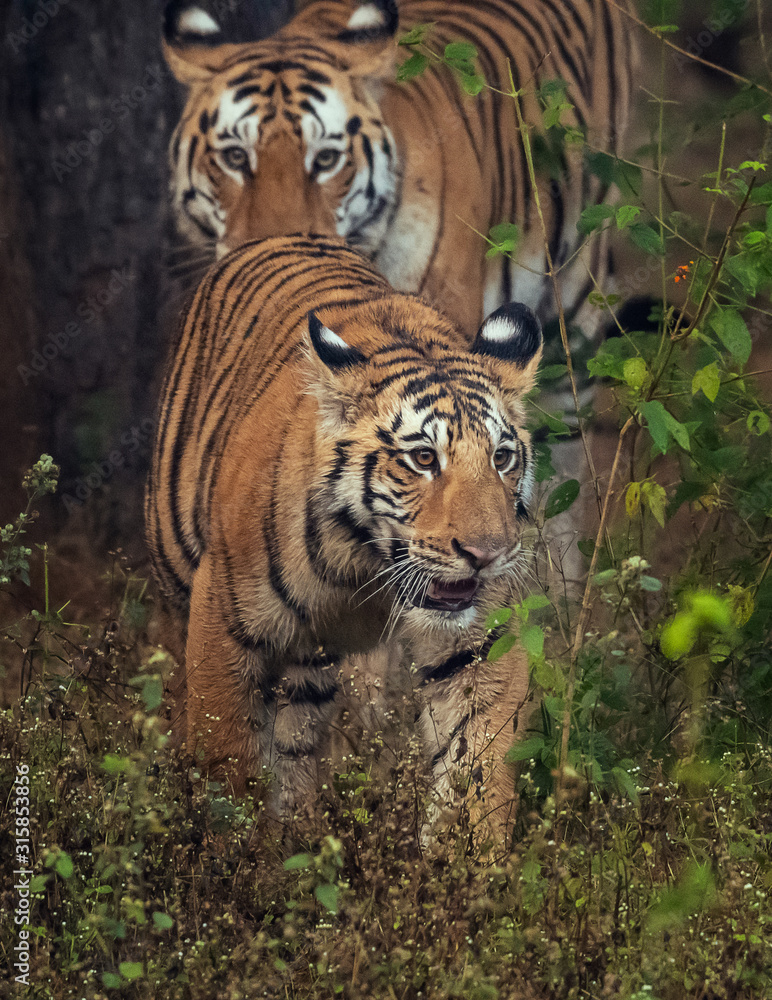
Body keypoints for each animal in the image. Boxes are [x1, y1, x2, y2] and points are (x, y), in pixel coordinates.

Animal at [145, 234, 543, 842]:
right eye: (423, 458)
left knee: (294, 742)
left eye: (501, 458)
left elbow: (477, 770)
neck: (369, 565)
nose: (487, 555)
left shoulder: (478, 648)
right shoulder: (223, 623)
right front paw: (228, 854)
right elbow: (227, 760)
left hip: (308, 664)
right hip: (177, 591)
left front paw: (469, 862)